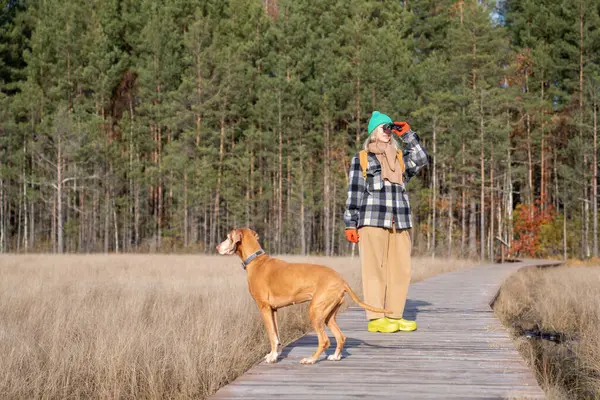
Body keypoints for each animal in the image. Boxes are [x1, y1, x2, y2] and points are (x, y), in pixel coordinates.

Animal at [216, 227, 390, 364]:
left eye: (227, 236)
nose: (217, 247)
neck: (256, 260)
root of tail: (341, 280)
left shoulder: (264, 308)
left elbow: (271, 334)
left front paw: (272, 357)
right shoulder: (273, 310)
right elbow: (276, 335)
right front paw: (275, 354)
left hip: (315, 310)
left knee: (324, 340)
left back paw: (311, 359)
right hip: (328, 314)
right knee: (340, 337)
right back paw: (335, 356)